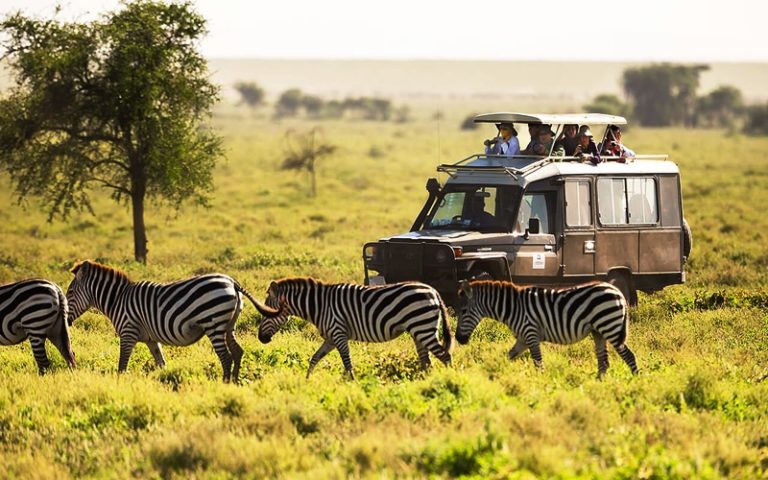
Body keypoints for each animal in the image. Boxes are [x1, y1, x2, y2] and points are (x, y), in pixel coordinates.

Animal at [64, 258, 278, 382]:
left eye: (70, 293)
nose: (66, 320)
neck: (117, 299)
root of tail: (232, 282)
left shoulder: (128, 332)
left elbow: (122, 365)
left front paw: (119, 385)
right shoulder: (151, 340)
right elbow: (161, 363)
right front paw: (164, 382)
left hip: (214, 323)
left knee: (225, 356)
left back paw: (224, 384)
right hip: (228, 325)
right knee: (237, 352)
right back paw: (234, 382)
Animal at [258, 278, 452, 378]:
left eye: (267, 312)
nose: (261, 338)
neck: (319, 306)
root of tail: (434, 291)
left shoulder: (339, 333)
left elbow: (347, 362)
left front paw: (353, 384)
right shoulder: (330, 338)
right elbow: (314, 358)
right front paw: (306, 381)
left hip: (423, 327)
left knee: (445, 355)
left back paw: (449, 381)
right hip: (418, 330)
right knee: (426, 360)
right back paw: (424, 381)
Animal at [456, 280, 636, 376]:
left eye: (463, 311)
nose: (458, 339)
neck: (513, 308)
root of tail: (618, 291)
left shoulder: (531, 334)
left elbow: (538, 363)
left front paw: (540, 384)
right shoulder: (522, 339)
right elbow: (508, 356)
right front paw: (494, 373)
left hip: (610, 326)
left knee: (629, 356)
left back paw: (636, 382)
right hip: (598, 331)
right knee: (603, 361)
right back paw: (597, 384)